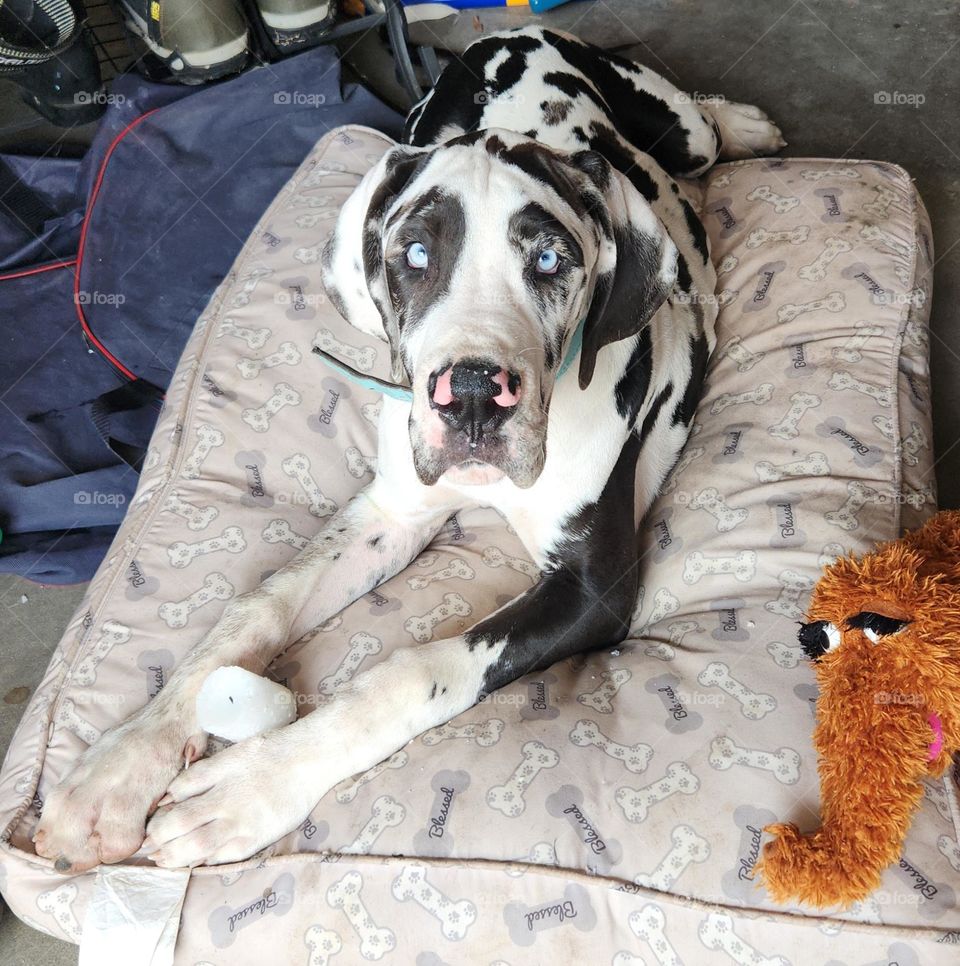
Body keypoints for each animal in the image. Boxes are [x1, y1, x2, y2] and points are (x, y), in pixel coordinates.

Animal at [39, 26, 788, 872]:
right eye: (416, 254)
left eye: (551, 260)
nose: (473, 395)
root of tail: (512, 33)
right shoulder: (390, 514)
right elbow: (258, 606)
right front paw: (121, 762)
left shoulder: (595, 590)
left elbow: (417, 671)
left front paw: (251, 787)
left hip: (676, 128)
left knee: (703, 124)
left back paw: (747, 124)